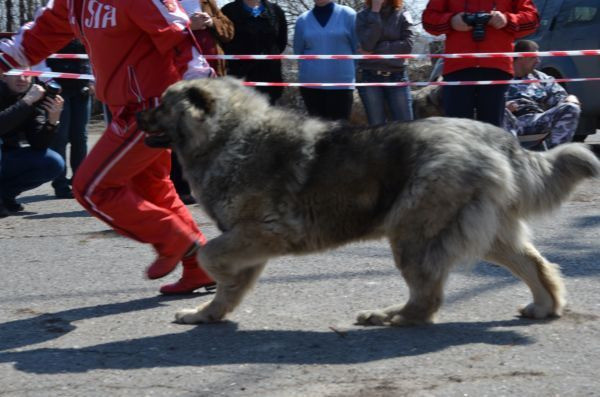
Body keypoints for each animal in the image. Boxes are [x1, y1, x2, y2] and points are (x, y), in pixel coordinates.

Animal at [137, 77, 600, 324]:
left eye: (161, 104)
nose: (134, 115)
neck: (230, 135)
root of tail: (497, 137)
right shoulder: (248, 241)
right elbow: (230, 287)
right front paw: (206, 314)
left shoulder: (259, 233)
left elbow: (210, 254)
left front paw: (209, 284)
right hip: (484, 232)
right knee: (535, 265)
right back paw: (543, 306)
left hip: (413, 233)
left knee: (426, 298)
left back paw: (390, 316)